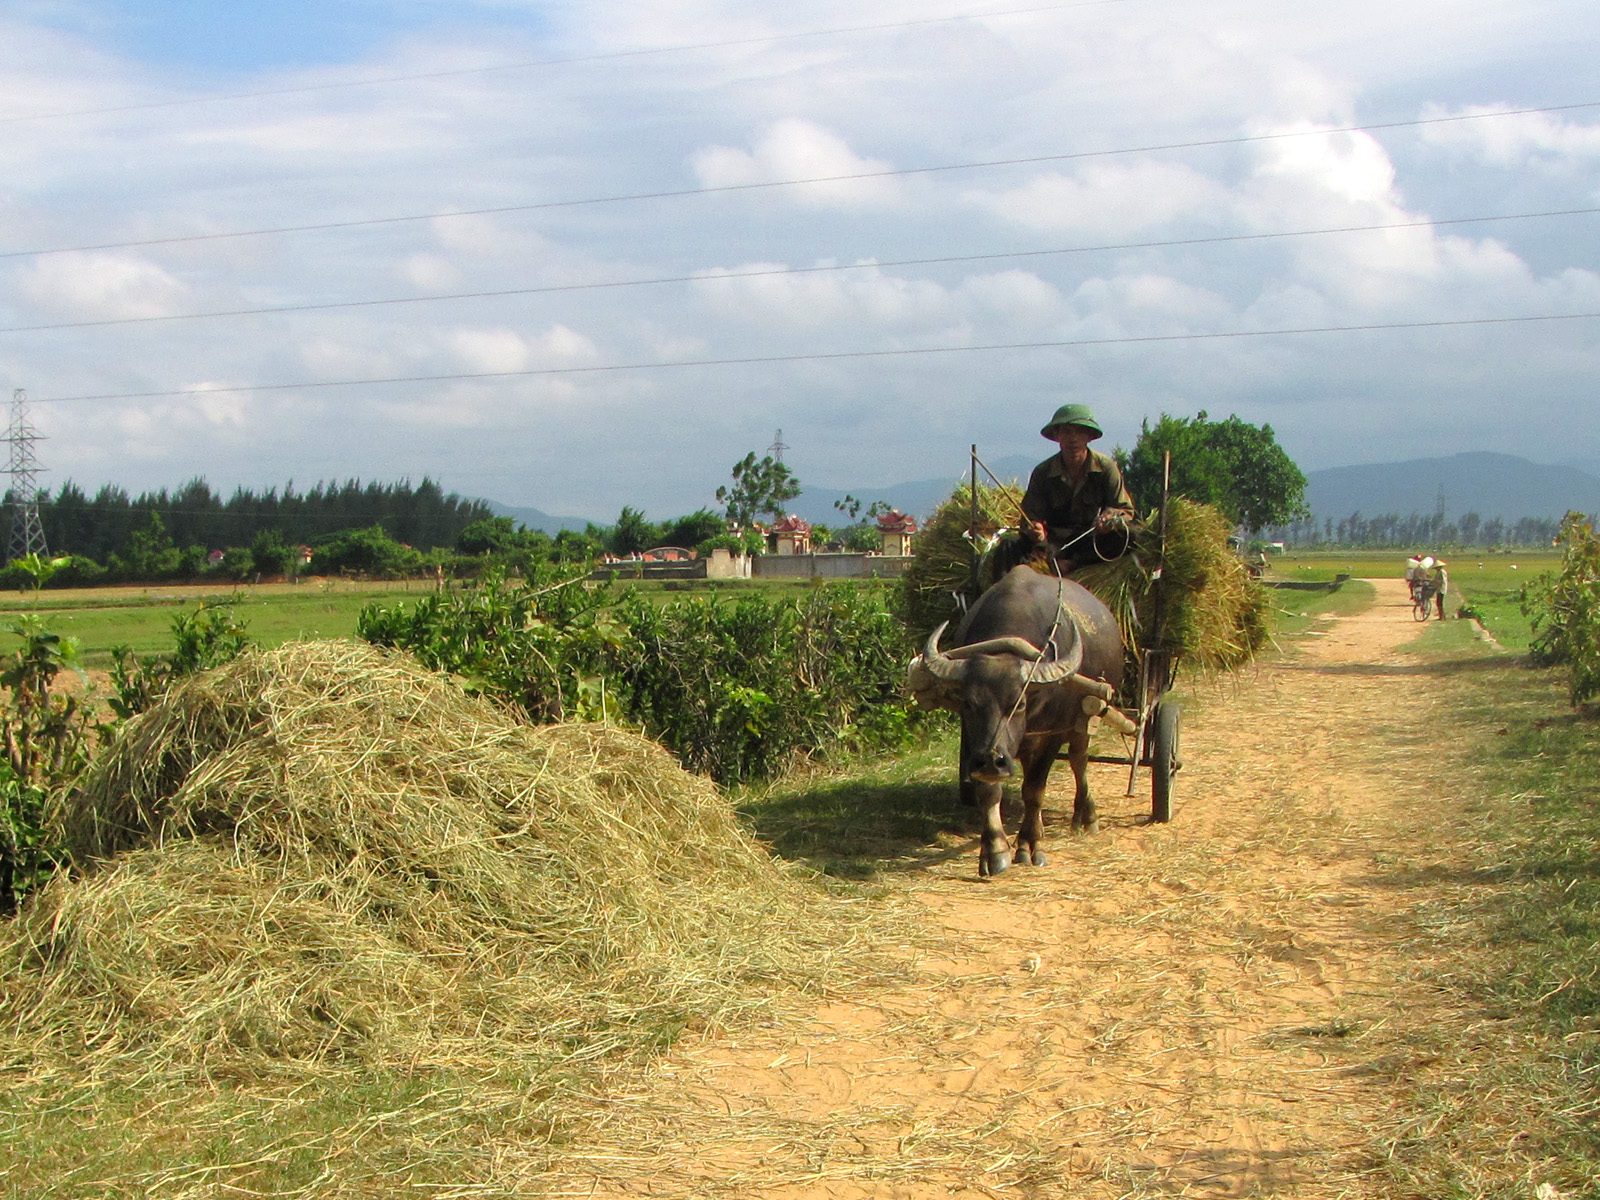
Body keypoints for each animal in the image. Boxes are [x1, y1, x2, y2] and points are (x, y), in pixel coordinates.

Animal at [908, 569, 1132, 876]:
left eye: (1020, 702)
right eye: (968, 703)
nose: (992, 760)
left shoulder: (1051, 737)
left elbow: (1034, 791)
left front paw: (1029, 845)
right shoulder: (975, 741)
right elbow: (989, 792)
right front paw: (995, 850)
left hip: (1086, 718)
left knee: (1079, 760)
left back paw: (1085, 817)